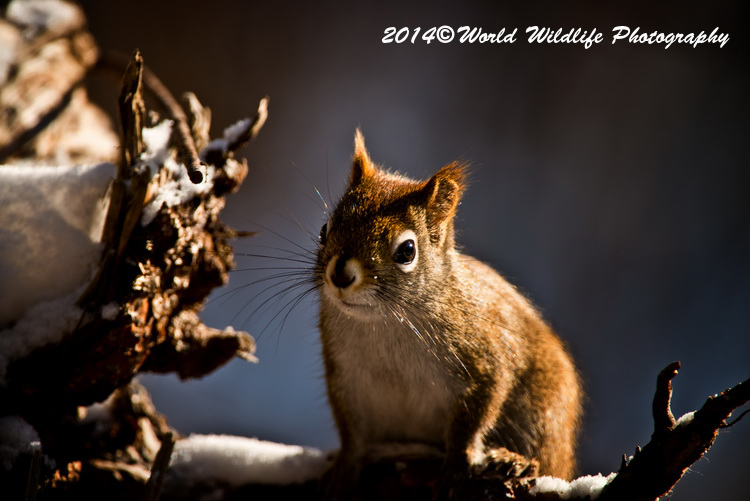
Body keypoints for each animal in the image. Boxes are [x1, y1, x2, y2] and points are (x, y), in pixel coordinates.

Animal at [316, 130, 582, 499]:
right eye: (324, 229)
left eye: (407, 251)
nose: (340, 274)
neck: (385, 324)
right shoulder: (344, 377)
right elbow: (352, 433)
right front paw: (344, 466)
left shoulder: (484, 361)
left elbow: (473, 420)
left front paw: (455, 467)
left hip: (546, 410)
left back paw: (512, 461)